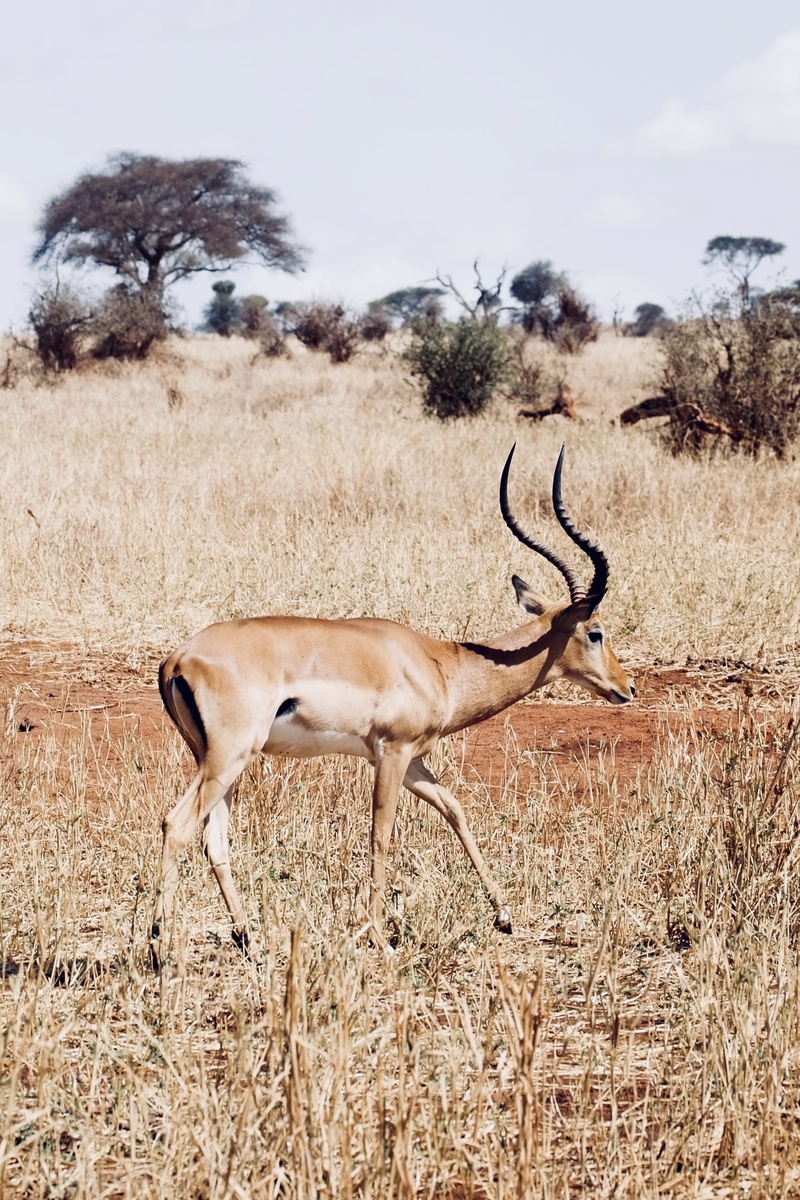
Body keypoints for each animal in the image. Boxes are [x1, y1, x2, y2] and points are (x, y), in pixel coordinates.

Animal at [151, 445, 633, 964]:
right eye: (596, 632)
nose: (627, 688)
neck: (440, 664)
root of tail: (178, 658)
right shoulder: (392, 752)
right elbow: (380, 834)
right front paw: (379, 936)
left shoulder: (413, 759)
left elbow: (455, 809)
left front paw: (503, 915)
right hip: (229, 757)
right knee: (177, 824)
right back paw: (159, 947)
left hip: (219, 762)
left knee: (214, 842)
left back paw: (251, 943)